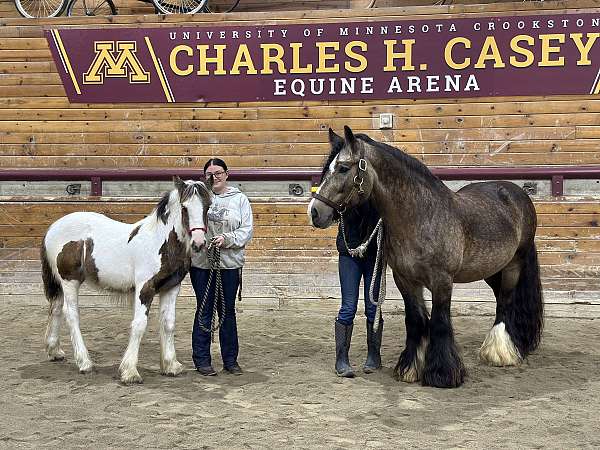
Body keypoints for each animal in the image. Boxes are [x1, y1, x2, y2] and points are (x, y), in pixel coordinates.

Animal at [41, 176, 212, 384]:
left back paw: (54, 351)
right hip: (69, 281)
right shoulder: (144, 288)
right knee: (71, 313)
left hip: (60, 283)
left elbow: (169, 323)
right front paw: (129, 371)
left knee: (56, 308)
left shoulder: (171, 288)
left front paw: (171, 366)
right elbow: (139, 325)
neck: (160, 242)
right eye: (184, 207)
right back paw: (84, 362)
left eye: (208, 206)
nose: (199, 243)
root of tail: (53, 227)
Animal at [310, 125, 544, 386]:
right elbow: (415, 321)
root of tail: (516, 193)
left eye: (342, 168)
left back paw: (500, 353)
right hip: (492, 269)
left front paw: (442, 374)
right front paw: (410, 368)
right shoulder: (405, 280)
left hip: (514, 265)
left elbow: (439, 323)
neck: (420, 217)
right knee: (500, 301)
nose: (315, 212)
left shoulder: (442, 281)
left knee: (505, 303)